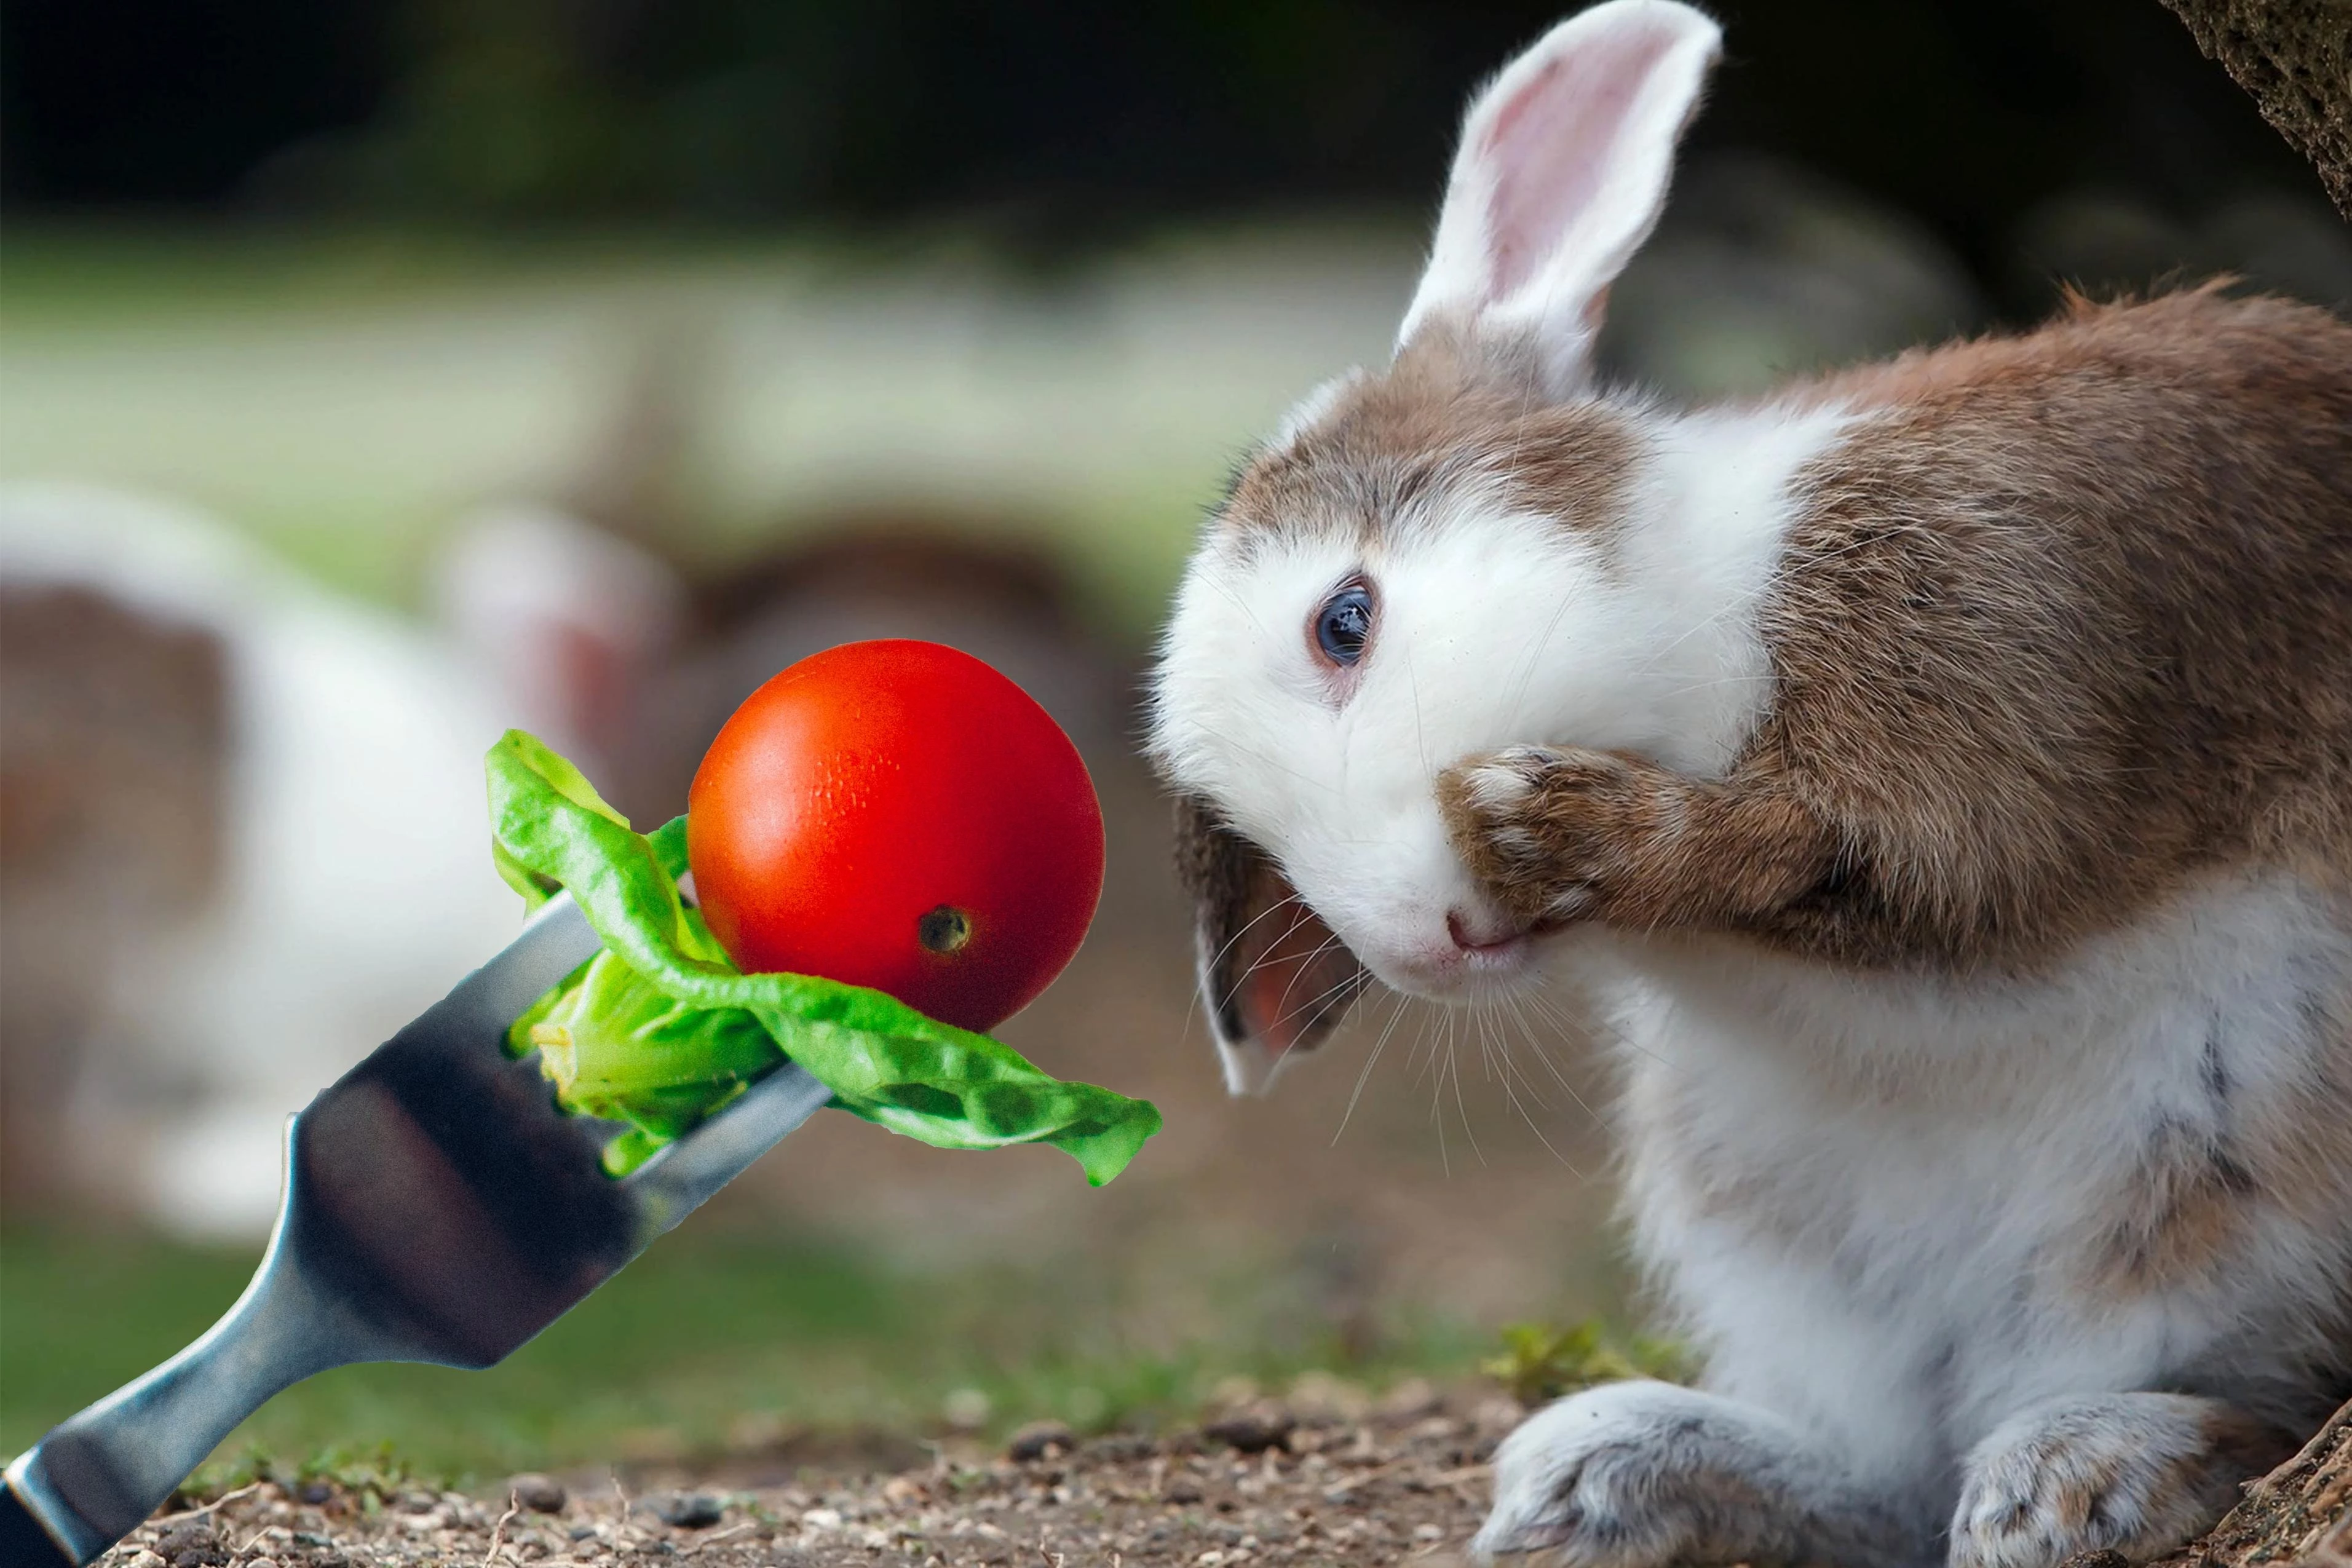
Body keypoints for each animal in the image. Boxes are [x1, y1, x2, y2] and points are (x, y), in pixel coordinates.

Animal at [1147, 2, 2352, 1568]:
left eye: (1343, 623)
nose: (1432, 943)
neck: (1703, 612)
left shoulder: (1998, 686)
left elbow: (1888, 858)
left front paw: (1554, 817)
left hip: (2225, 1178)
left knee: (2241, 1398)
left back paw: (2079, 1476)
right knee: (1885, 1475)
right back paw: (1598, 1473)